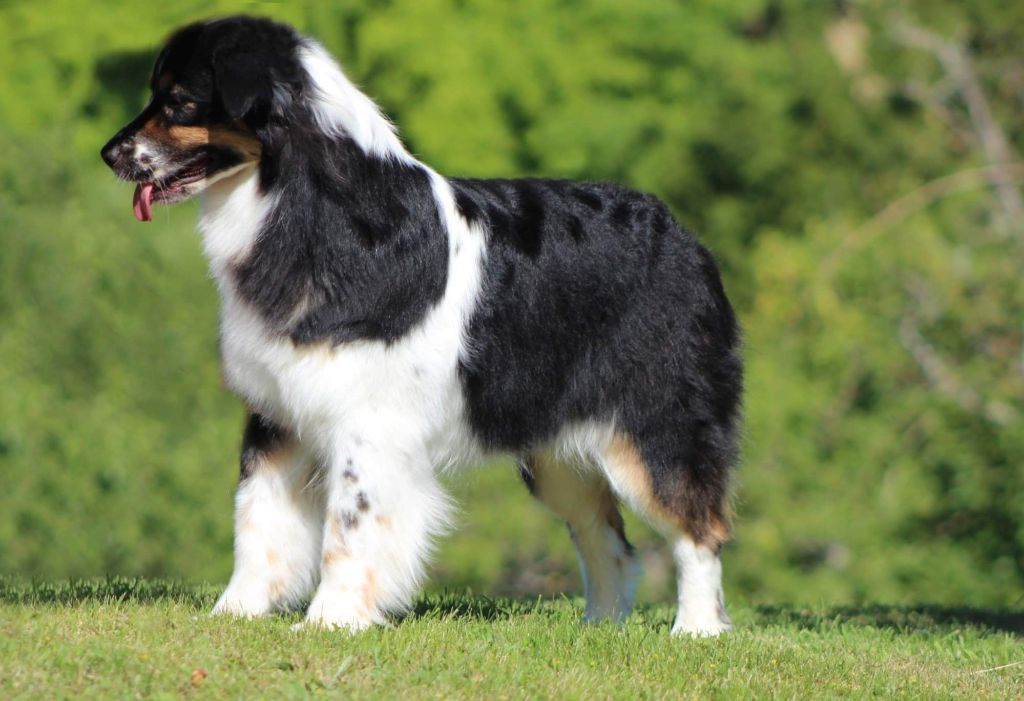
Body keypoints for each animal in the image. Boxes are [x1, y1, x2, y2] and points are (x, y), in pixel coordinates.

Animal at [101, 16, 745, 634]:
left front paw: (330, 621)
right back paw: (599, 630)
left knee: (698, 532)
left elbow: (348, 528)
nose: (108, 153)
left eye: (180, 102)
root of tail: (683, 235)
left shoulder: (368, 423)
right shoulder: (278, 413)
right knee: (607, 540)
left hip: (655, 430)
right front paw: (234, 614)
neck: (307, 207)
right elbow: (256, 520)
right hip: (555, 454)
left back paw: (697, 630)